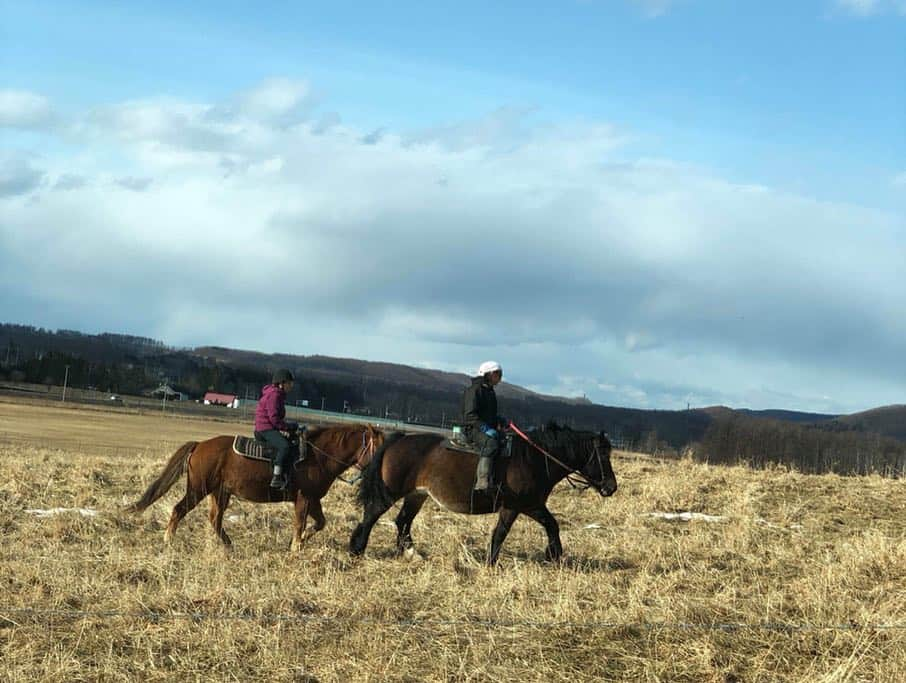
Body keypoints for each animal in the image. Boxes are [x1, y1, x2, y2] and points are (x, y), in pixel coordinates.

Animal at [127, 424, 382, 552]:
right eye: (377, 448)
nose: (379, 470)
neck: (317, 455)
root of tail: (199, 445)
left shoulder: (313, 500)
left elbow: (320, 523)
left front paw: (300, 542)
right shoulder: (304, 498)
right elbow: (300, 524)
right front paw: (296, 546)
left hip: (219, 493)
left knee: (215, 519)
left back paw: (229, 546)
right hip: (198, 490)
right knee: (179, 509)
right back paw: (168, 540)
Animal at [348, 422, 616, 568]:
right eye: (603, 455)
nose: (611, 487)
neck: (536, 457)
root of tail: (398, 440)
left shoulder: (532, 504)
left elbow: (552, 524)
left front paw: (554, 554)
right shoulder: (515, 506)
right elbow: (501, 533)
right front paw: (491, 562)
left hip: (417, 494)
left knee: (402, 521)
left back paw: (411, 554)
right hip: (390, 492)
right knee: (371, 516)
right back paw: (356, 548)